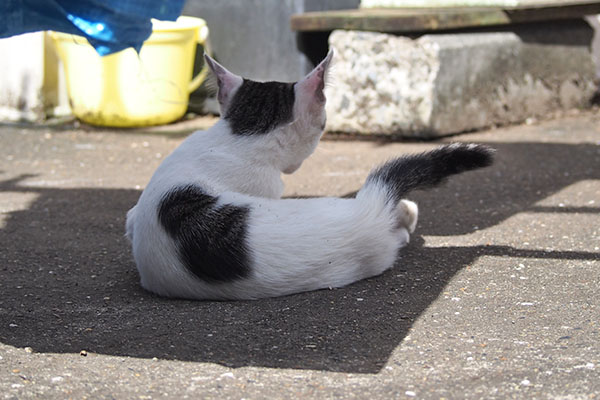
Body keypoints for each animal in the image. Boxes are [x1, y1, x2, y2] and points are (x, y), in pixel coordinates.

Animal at [124, 50, 494, 300]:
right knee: (400, 221)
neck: (233, 139)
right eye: (323, 125)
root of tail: (368, 210)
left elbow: (129, 217)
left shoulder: (136, 211)